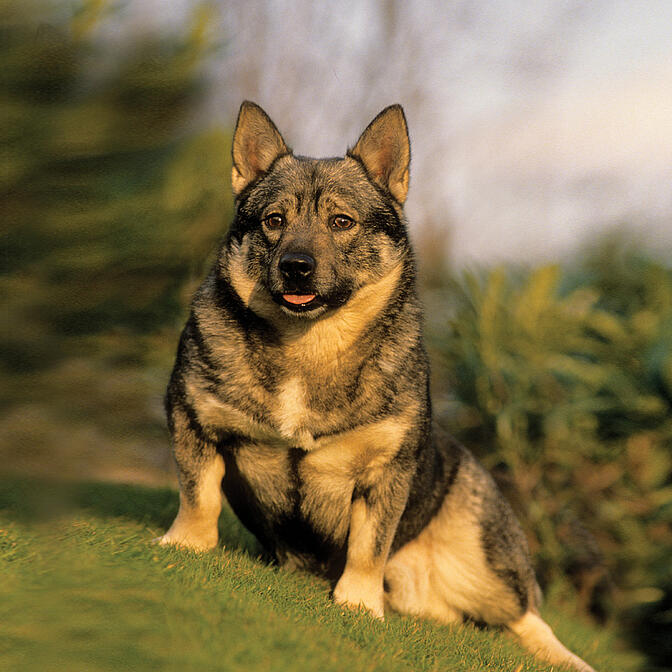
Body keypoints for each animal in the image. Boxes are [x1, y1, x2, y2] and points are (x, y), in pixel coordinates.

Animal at [160, 101, 596, 672]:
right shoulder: (193, 419)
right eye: (274, 221)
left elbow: (368, 546)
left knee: (525, 615)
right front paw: (186, 546)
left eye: (341, 222)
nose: (295, 267)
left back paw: (570, 659)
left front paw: (358, 604)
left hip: (483, 561)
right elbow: (199, 496)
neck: (308, 345)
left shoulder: (385, 471)